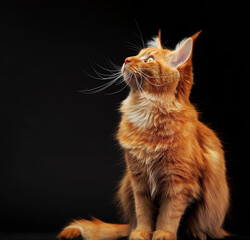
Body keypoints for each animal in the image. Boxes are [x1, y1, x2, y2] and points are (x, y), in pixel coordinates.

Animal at [57, 31, 229, 240]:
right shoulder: (139, 181)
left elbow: (168, 215)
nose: (126, 59)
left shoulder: (179, 183)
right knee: (134, 220)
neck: (145, 114)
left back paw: (198, 234)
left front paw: (163, 234)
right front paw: (141, 233)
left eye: (149, 60)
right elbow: (143, 213)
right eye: (137, 54)